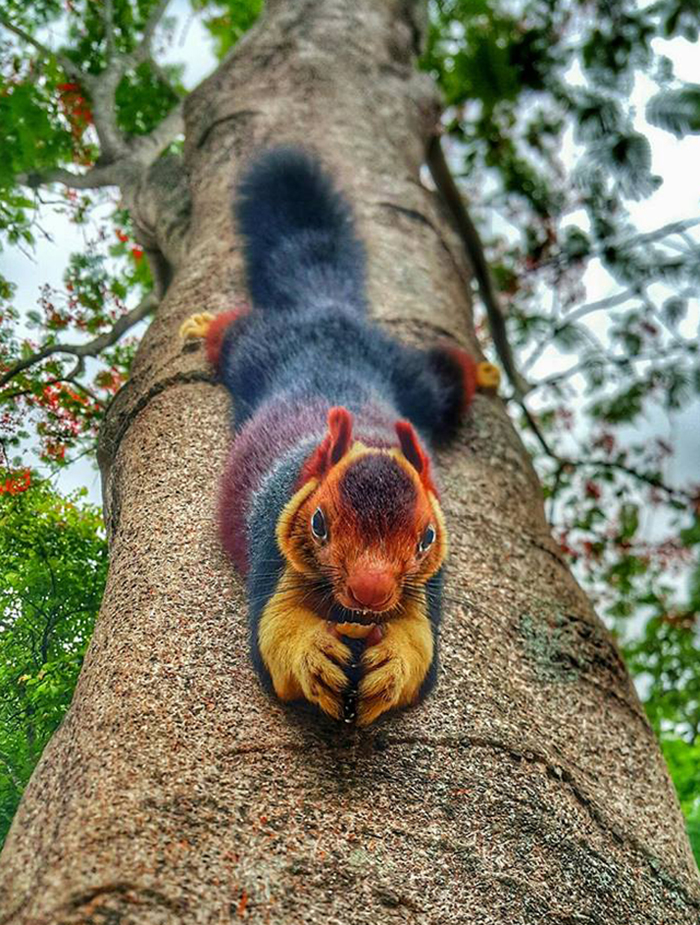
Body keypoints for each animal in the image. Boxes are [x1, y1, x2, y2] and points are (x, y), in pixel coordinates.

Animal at [180, 146, 498, 720]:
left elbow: (420, 642)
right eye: (319, 523)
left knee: (447, 376)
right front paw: (313, 656)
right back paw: (205, 324)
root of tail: (330, 314)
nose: (370, 591)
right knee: (235, 332)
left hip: (415, 379)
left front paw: (392, 665)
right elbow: (274, 632)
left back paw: (482, 372)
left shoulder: (429, 584)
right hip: (260, 347)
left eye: (428, 536)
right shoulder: (272, 539)